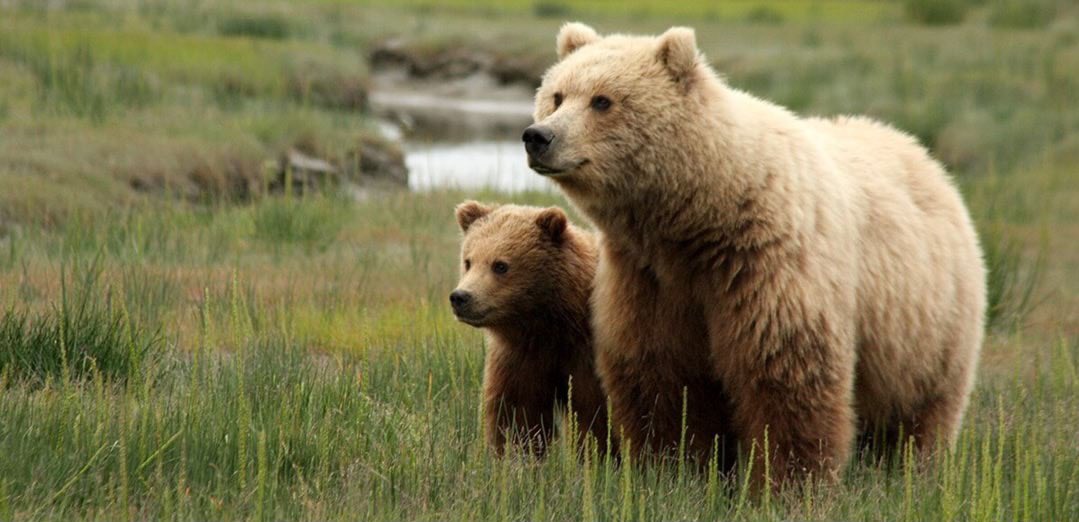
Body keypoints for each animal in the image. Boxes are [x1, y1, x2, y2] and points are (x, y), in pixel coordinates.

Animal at [451, 201, 613, 457]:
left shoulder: (588, 358)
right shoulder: (522, 359)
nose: (461, 297)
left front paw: (595, 457)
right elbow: (518, 418)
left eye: (500, 265)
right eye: (468, 261)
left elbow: (595, 417)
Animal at [522, 23, 986, 486]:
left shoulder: (765, 267)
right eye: (557, 95)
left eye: (602, 100)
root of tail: (924, 155)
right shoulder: (648, 279)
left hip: (927, 324)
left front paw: (788, 483)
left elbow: (784, 379)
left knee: (920, 413)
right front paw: (671, 472)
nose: (538, 136)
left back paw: (913, 471)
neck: (696, 222)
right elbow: (661, 379)